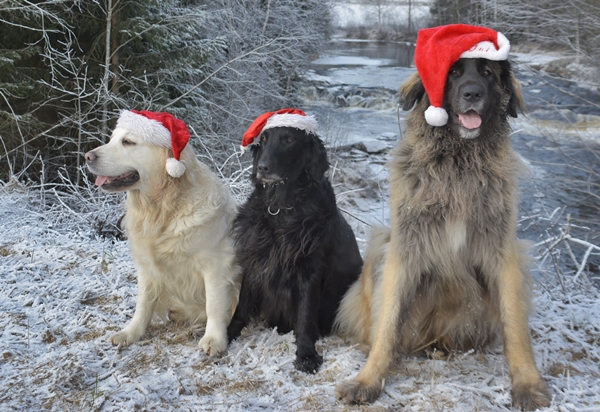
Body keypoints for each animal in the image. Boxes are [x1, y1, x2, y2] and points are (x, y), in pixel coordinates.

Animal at [84, 111, 241, 356]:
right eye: (111, 139)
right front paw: (131, 332)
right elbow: (143, 304)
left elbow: (214, 305)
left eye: (128, 142)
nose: (87, 157)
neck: (162, 210)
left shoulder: (217, 265)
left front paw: (214, 340)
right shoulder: (147, 267)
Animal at [229, 124, 360, 374]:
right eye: (263, 139)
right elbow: (242, 304)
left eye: (289, 140)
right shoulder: (256, 258)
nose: (262, 168)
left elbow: (305, 315)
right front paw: (227, 332)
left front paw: (306, 354)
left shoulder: (309, 269)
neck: (281, 208)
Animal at [336, 54, 552, 408]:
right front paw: (367, 380)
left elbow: (516, 325)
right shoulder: (403, 250)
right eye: (451, 73)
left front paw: (528, 384)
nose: (472, 94)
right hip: (381, 243)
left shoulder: (504, 252)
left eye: (488, 72)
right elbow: (387, 323)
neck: (458, 161)